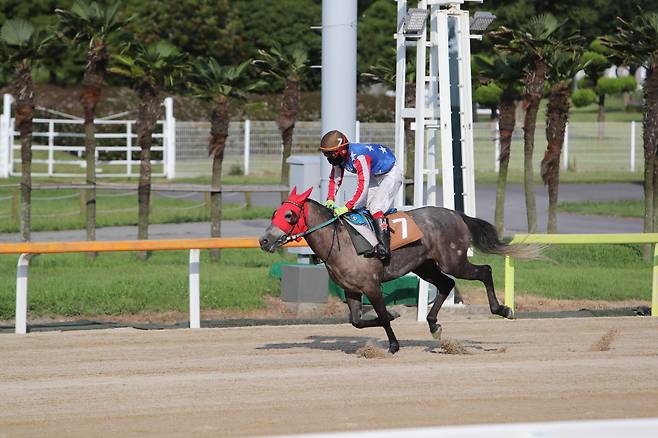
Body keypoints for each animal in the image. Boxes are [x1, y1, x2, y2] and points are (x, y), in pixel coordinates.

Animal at [258, 186, 540, 354]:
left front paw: (393, 342)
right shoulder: (351, 290)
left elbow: (382, 316)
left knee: (484, 271)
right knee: (446, 284)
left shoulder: (371, 285)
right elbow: (357, 322)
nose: (264, 240)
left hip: (454, 261)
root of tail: (456, 214)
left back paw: (503, 309)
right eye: (275, 213)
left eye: (290, 215)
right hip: (425, 266)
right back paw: (434, 325)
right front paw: (394, 317)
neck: (339, 241)